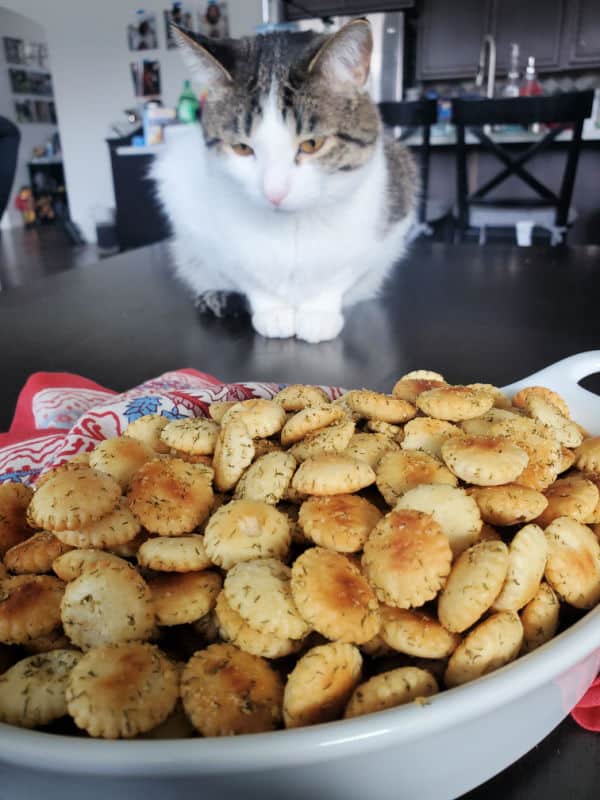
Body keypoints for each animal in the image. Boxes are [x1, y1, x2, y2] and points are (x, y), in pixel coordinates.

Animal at [152, 18, 418, 342]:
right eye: (242, 148)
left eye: (312, 144)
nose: (274, 193)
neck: (292, 227)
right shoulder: (199, 221)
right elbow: (243, 269)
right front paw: (272, 310)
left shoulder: (395, 202)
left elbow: (344, 268)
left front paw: (318, 312)